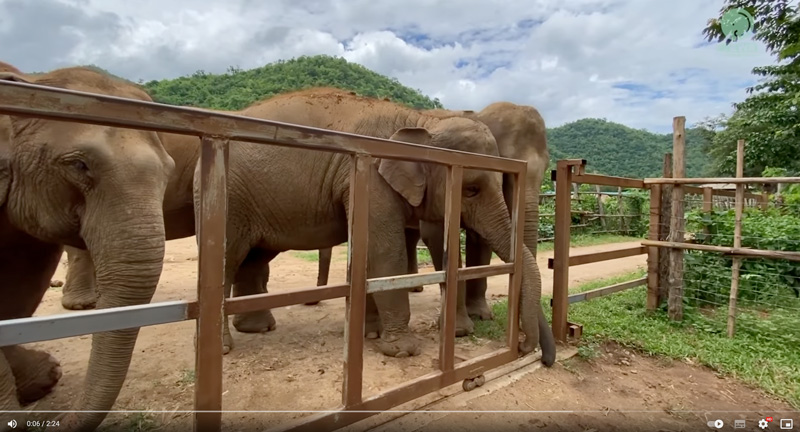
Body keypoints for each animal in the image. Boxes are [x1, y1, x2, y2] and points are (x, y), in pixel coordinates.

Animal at [312, 103, 552, 330]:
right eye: (509, 172)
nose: (524, 339)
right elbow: (439, 236)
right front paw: (462, 327)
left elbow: (480, 240)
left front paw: (482, 316)